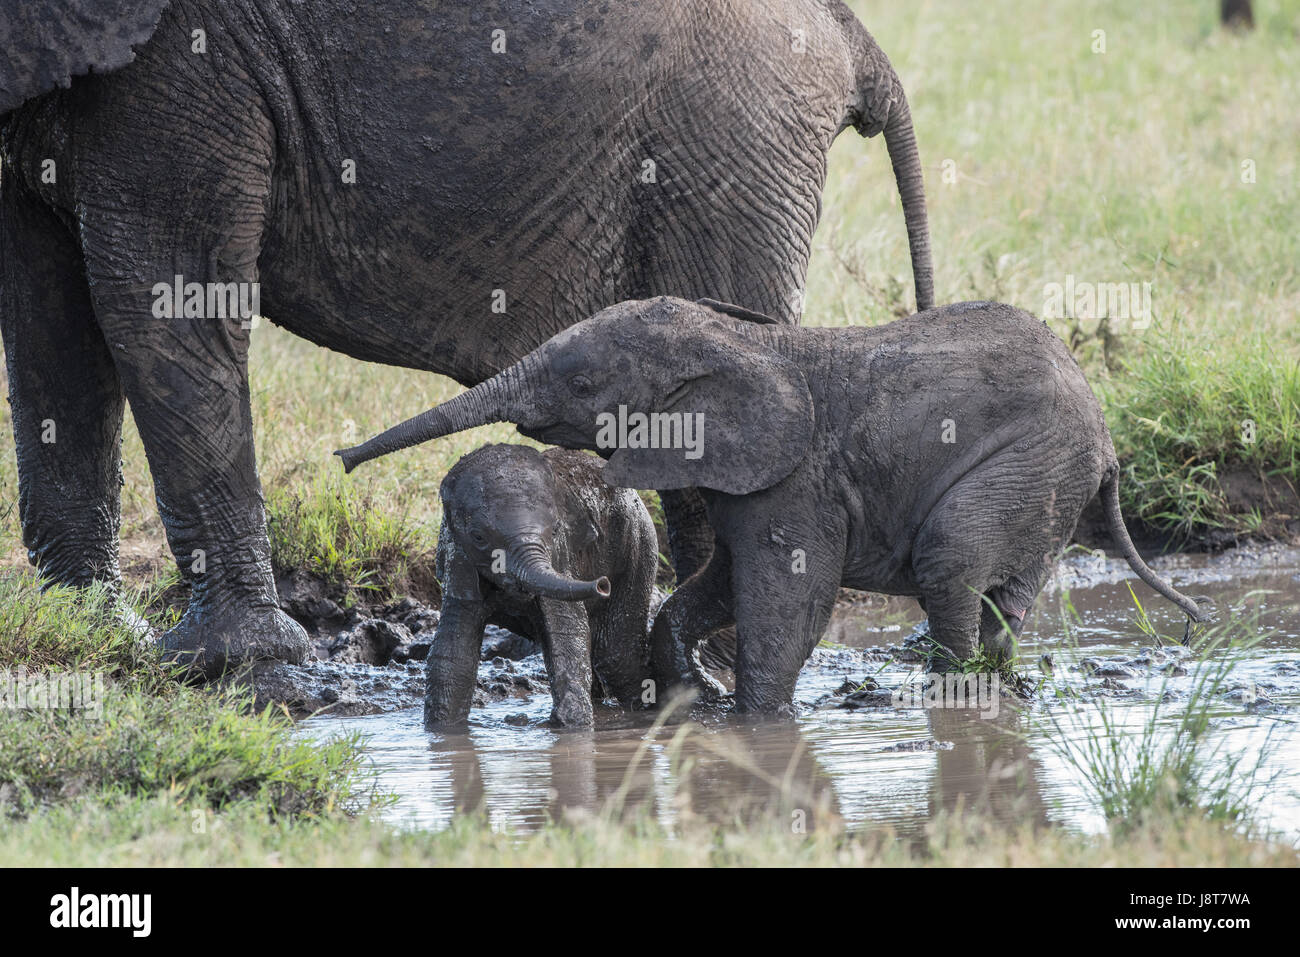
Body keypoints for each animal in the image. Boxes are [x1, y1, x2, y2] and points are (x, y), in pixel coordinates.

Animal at [0, 0, 935, 676]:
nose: (343, 459)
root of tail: (853, 36)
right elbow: (47, 311)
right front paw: (90, 627)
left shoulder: (187, 57)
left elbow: (160, 298)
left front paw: (230, 663)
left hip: (727, 143)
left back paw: (714, 685)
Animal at [418, 444, 660, 728]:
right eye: (478, 537)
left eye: (555, 530)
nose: (602, 584)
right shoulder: (458, 558)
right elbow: (453, 653)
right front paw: (442, 731)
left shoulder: (561, 555)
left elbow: (567, 632)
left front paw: (572, 727)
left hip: (639, 539)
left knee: (616, 655)